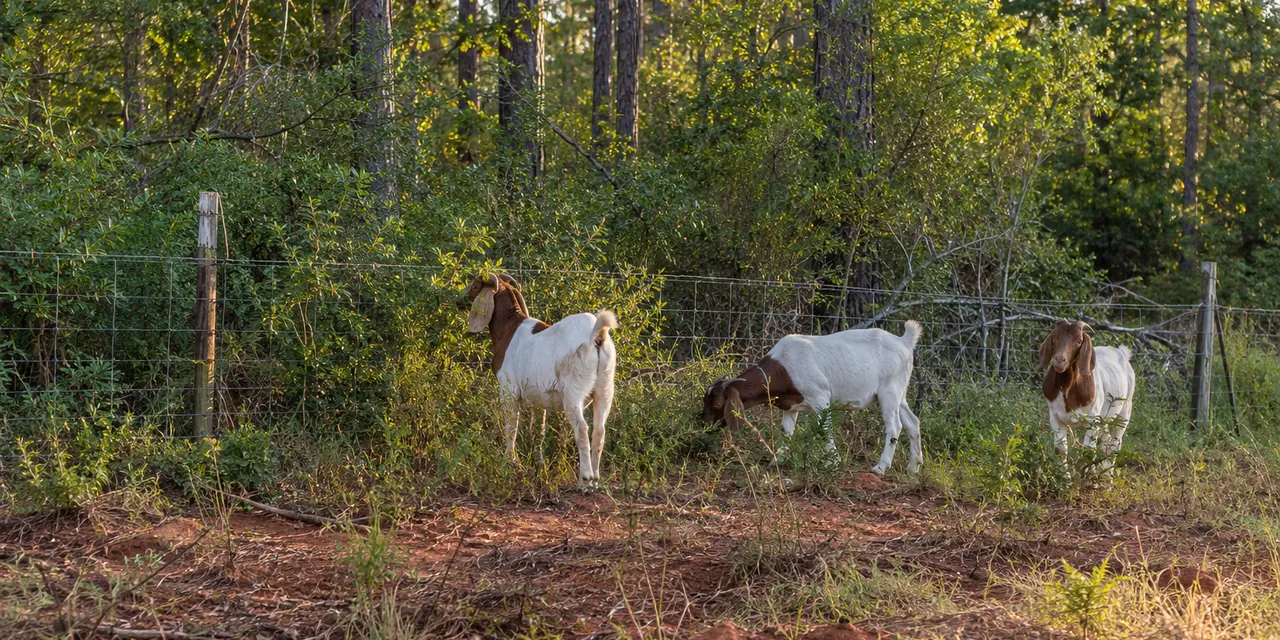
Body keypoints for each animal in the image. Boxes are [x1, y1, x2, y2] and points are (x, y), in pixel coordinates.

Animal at [461, 274, 618, 488]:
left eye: (476, 285)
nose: (460, 300)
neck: (509, 329)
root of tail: (597, 335)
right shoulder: (541, 398)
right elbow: (539, 429)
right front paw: (539, 463)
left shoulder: (508, 389)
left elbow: (512, 427)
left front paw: (511, 462)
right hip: (604, 388)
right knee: (599, 430)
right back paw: (595, 480)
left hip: (573, 392)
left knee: (582, 427)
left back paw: (584, 479)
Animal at [701, 321, 924, 476]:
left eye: (719, 403)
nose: (706, 427)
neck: (782, 367)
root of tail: (904, 341)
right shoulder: (790, 406)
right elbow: (786, 431)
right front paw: (778, 459)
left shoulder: (820, 397)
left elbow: (824, 429)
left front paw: (832, 462)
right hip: (900, 394)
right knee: (913, 422)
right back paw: (914, 467)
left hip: (889, 391)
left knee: (894, 426)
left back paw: (881, 467)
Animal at [1035, 320, 1136, 473]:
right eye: (1055, 337)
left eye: (1079, 341)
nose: (1059, 360)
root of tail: (1122, 353)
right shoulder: (1055, 418)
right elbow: (1061, 450)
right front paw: (1065, 478)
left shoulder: (1092, 421)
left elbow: (1089, 451)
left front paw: (1089, 477)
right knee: (1106, 440)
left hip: (1124, 411)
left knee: (1115, 443)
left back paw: (1108, 475)